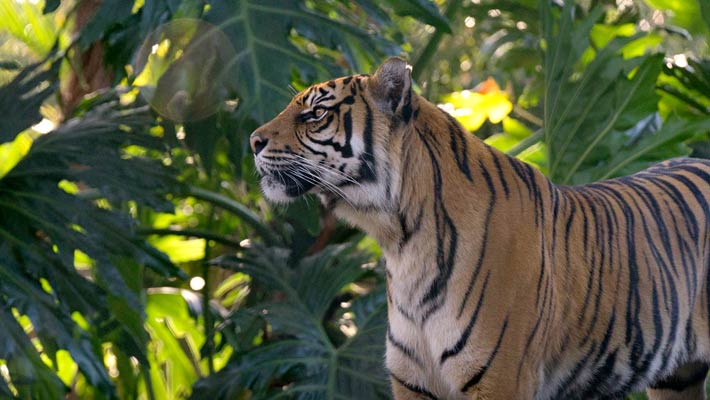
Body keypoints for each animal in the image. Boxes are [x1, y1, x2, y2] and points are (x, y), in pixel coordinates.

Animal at [250, 57, 710, 400]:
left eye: (316, 113)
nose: (252, 140)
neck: (400, 239)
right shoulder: (414, 382)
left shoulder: (501, 379)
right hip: (676, 378)